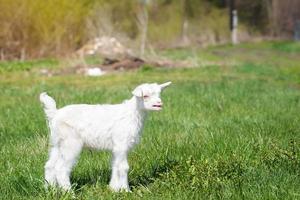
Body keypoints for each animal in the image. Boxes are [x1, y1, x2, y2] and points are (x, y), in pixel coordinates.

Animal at [39, 81, 171, 192]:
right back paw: (69, 192)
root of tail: (55, 114)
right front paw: (126, 191)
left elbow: (115, 165)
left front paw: (114, 189)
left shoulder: (116, 148)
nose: (159, 104)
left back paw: (49, 189)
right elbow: (123, 167)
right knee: (61, 168)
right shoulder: (121, 144)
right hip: (70, 143)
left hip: (57, 143)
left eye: (159, 94)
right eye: (145, 96)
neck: (132, 113)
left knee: (49, 165)